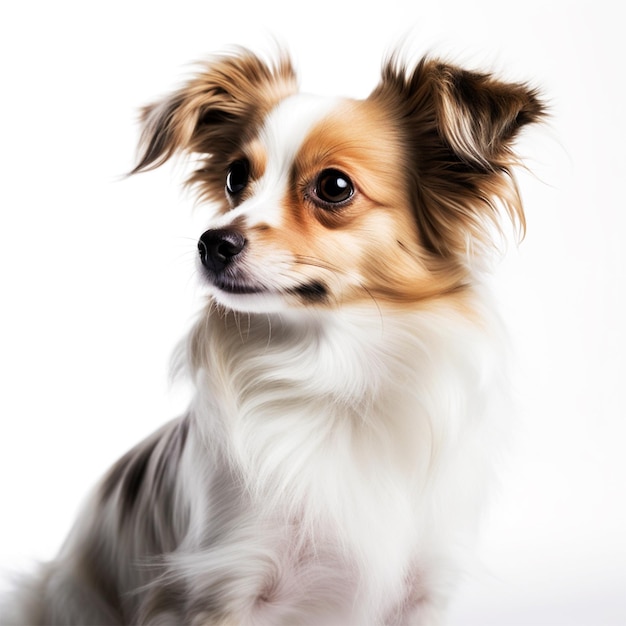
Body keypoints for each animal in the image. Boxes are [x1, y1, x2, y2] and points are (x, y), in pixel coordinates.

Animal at [2, 46, 540, 620]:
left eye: (334, 186)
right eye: (235, 177)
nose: (211, 242)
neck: (333, 372)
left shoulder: (421, 590)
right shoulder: (222, 582)